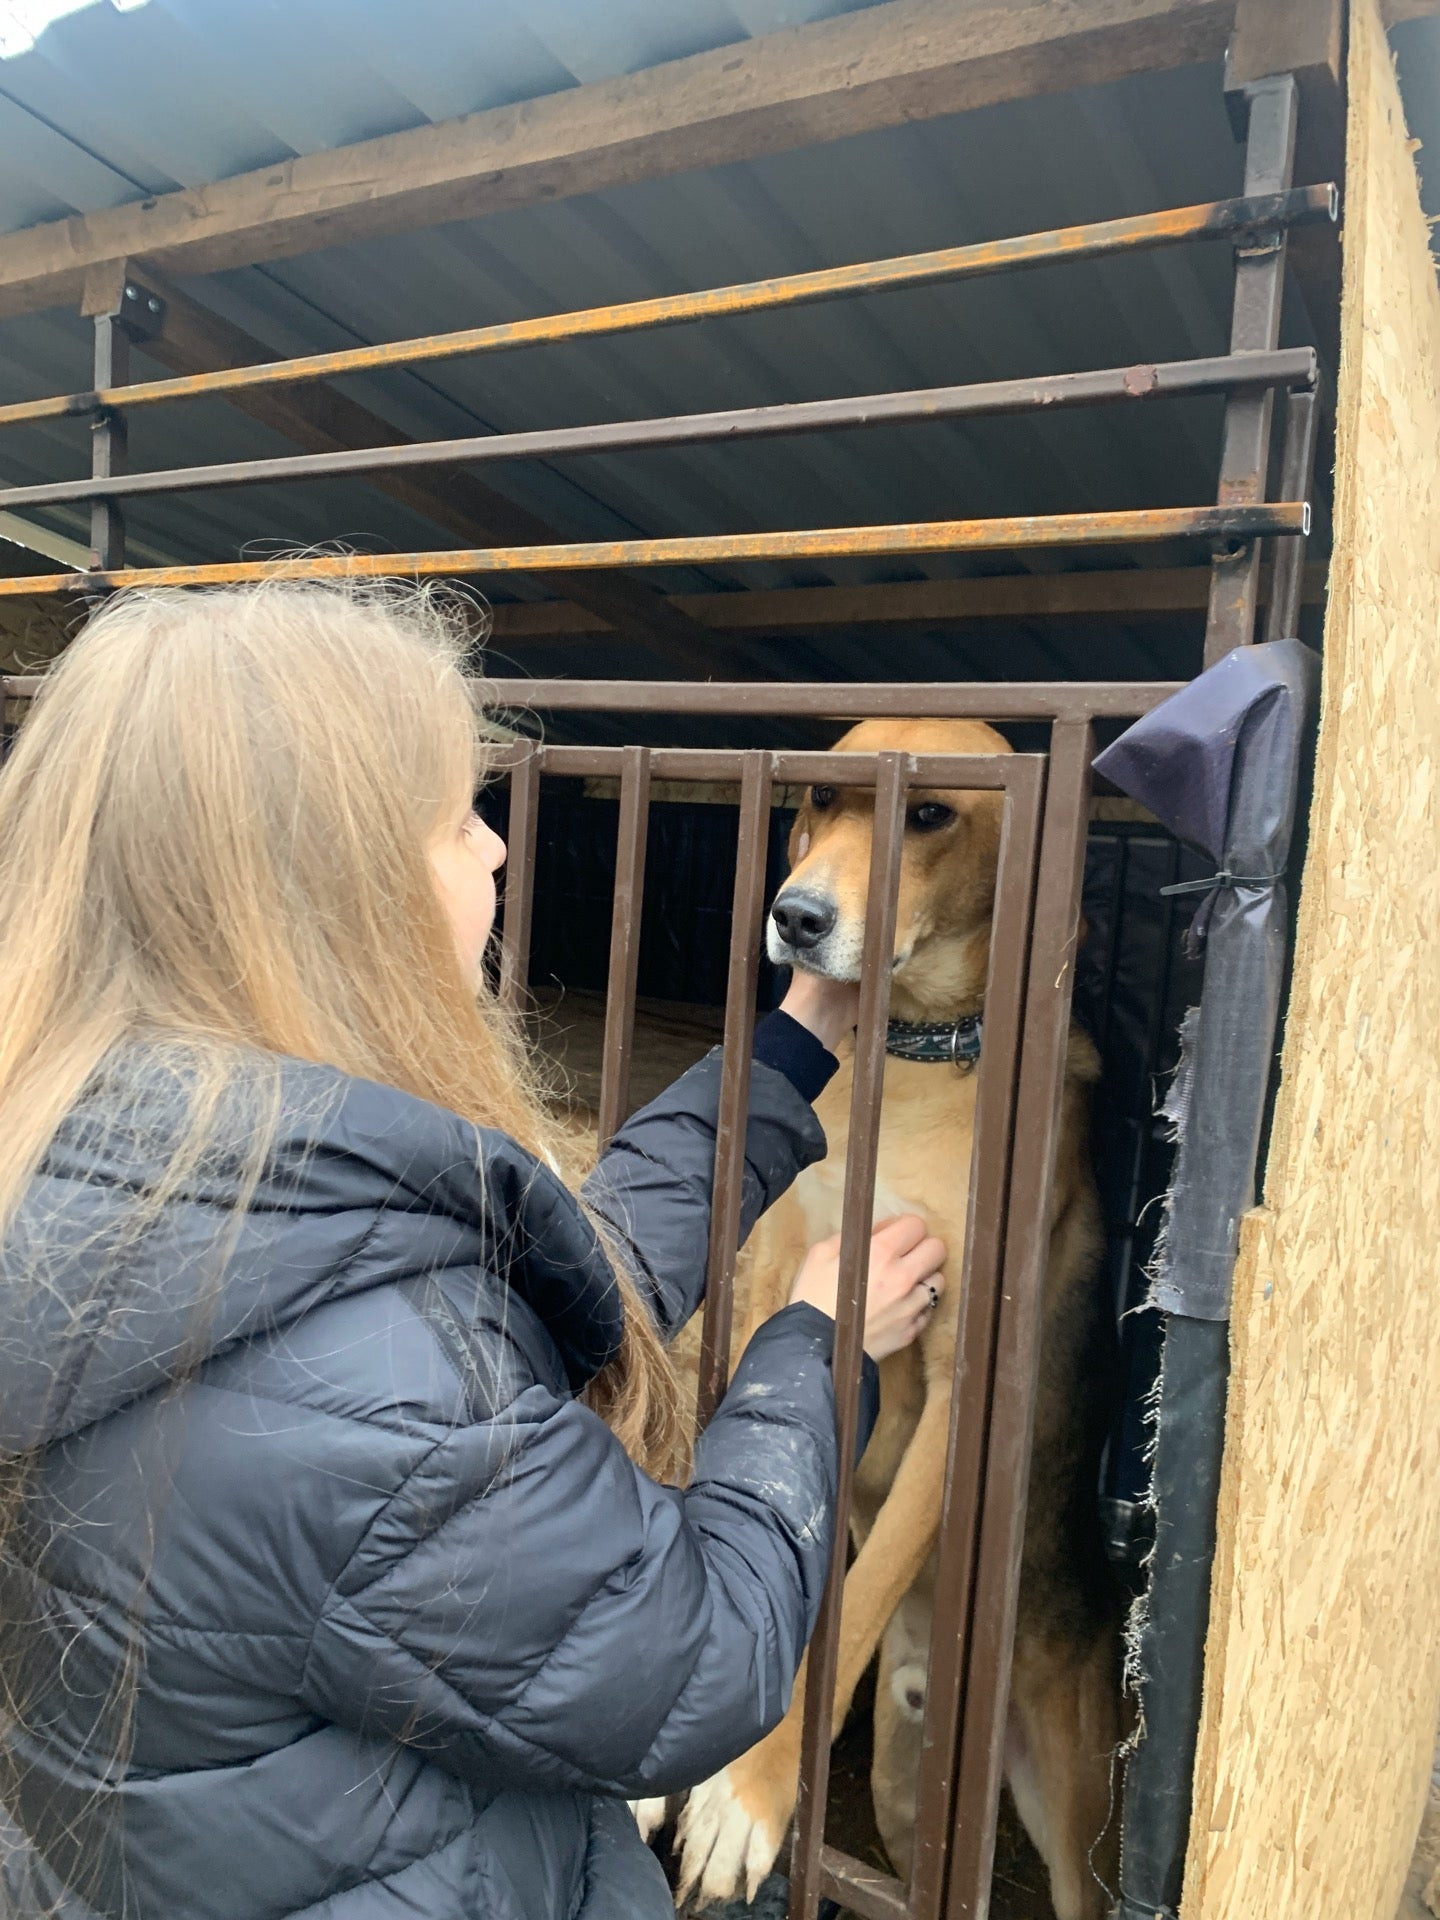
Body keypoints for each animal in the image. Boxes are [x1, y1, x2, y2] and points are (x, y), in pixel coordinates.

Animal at [641, 721, 1128, 1920]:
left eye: (930, 815)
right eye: (825, 798)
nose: (796, 917)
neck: (914, 1060)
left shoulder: (959, 1395)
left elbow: (847, 1605)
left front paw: (748, 1789)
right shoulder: (777, 1289)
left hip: (1069, 1815)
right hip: (910, 1807)